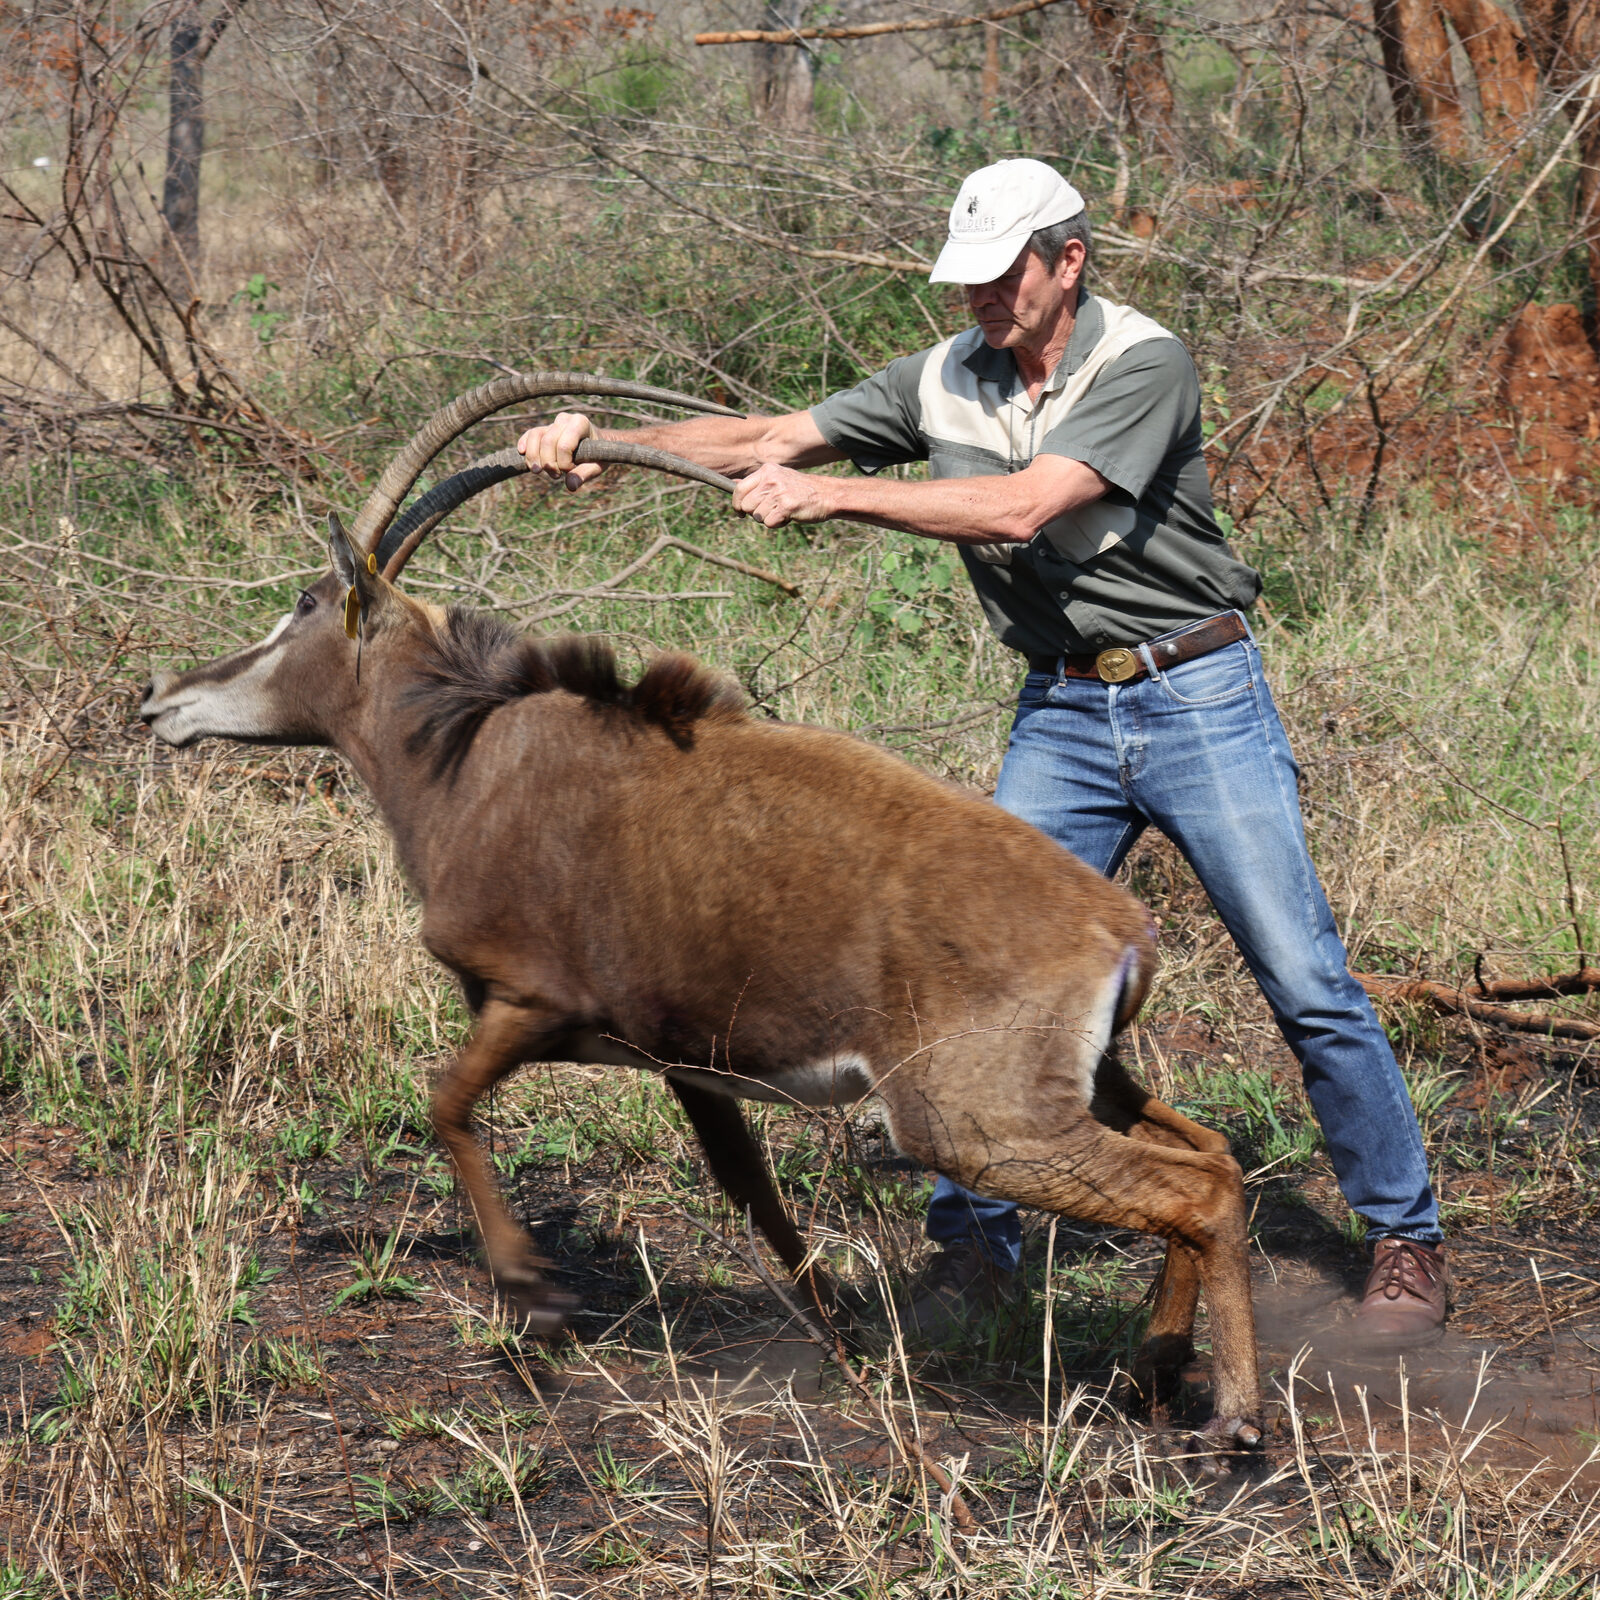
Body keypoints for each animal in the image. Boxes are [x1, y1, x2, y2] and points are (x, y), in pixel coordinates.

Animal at [141, 373, 1262, 1447]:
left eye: (302, 602)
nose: (160, 697)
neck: (463, 752)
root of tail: (1123, 930)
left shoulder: (530, 1003)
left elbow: (446, 1101)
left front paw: (536, 1295)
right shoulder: (690, 1062)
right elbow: (750, 1188)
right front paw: (846, 1341)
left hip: (974, 1126)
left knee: (1194, 1189)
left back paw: (1236, 1416)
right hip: (1079, 1086)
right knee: (1209, 1155)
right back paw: (1152, 1369)